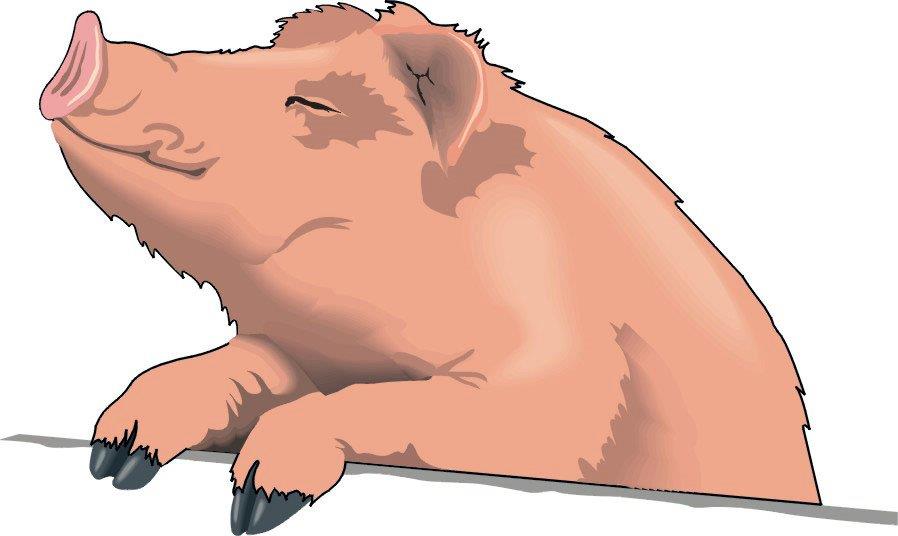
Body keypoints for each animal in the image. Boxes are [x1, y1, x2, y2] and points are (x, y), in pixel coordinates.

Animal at [39, 3, 820, 534]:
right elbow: (244, 365)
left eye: (311, 102)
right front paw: (113, 453)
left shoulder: (567, 375)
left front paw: (257, 503)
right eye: (239, 54)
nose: (86, 32)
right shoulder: (303, 349)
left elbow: (507, 418)